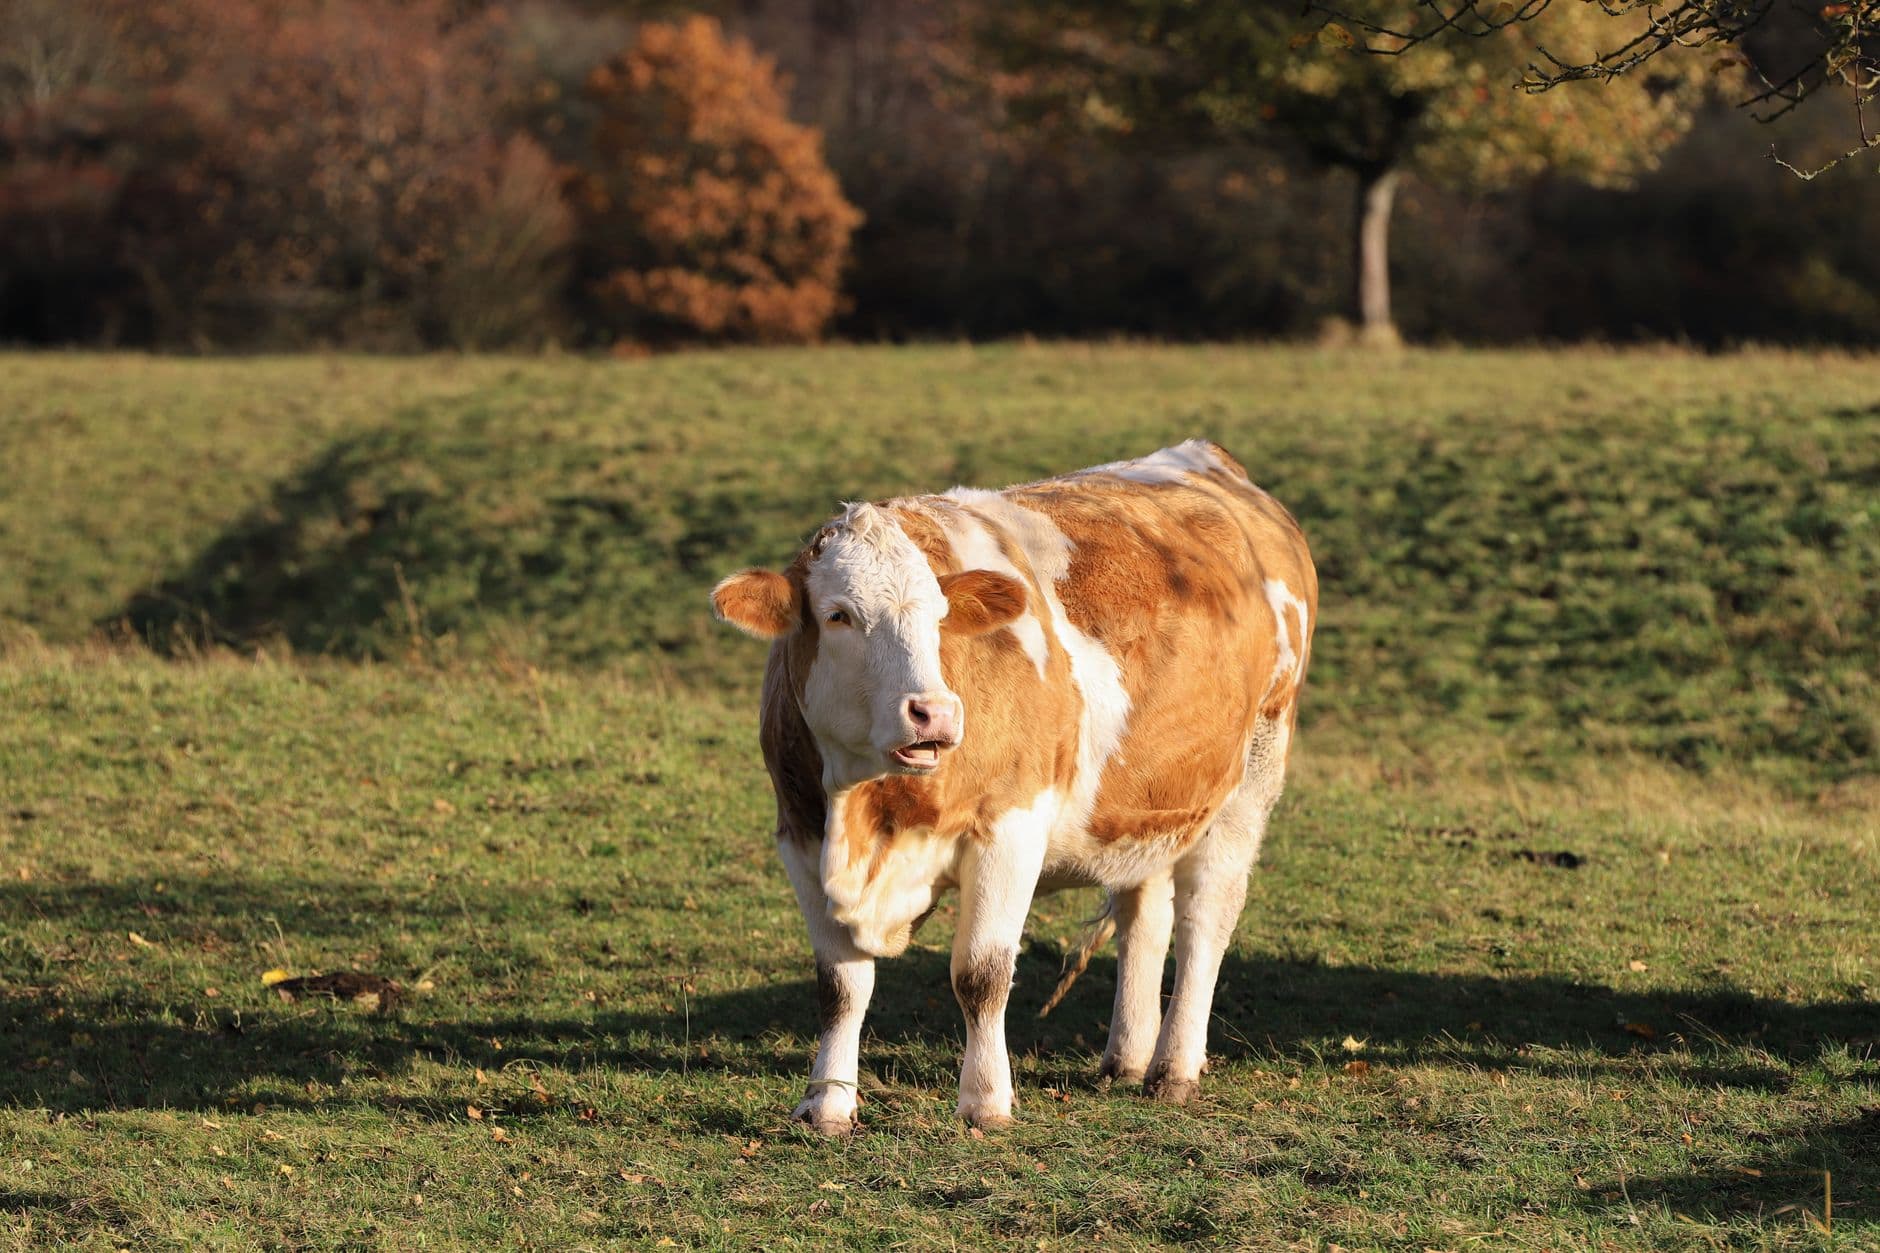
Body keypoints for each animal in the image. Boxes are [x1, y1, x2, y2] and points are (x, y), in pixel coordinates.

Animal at [710, 439, 1316, 1133]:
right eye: (838, 615)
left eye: (941, 616)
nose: (934, 714)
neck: (866, 810)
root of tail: (1210, 461)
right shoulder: (800, 835)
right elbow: (840, 986)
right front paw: (827, 1102)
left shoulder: (1010, 827)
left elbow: (982, 974)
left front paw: (985, 1100)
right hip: (1146, 801)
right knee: (1145, 915)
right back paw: (1127, 1059)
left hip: (1251, 777)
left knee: (1206, 919)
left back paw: (1175, 1068)